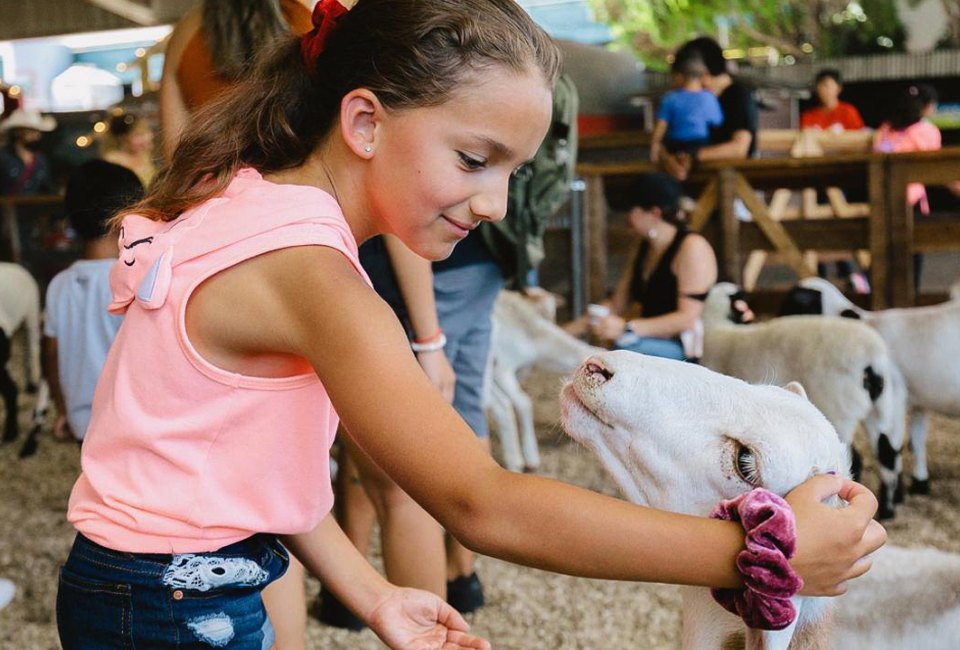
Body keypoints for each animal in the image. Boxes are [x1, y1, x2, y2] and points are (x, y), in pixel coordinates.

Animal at [700, 282, 904, 516]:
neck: (719, 329)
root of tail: (873, 360)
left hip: (839, 407)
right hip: (879, 406)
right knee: (886, 451)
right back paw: (887, 509)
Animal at [780, 276, 960, 494]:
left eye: (799, 304)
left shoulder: (894, 397)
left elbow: (889, 448)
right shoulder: (917, 399)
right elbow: (916, 440)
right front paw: (919, 484)